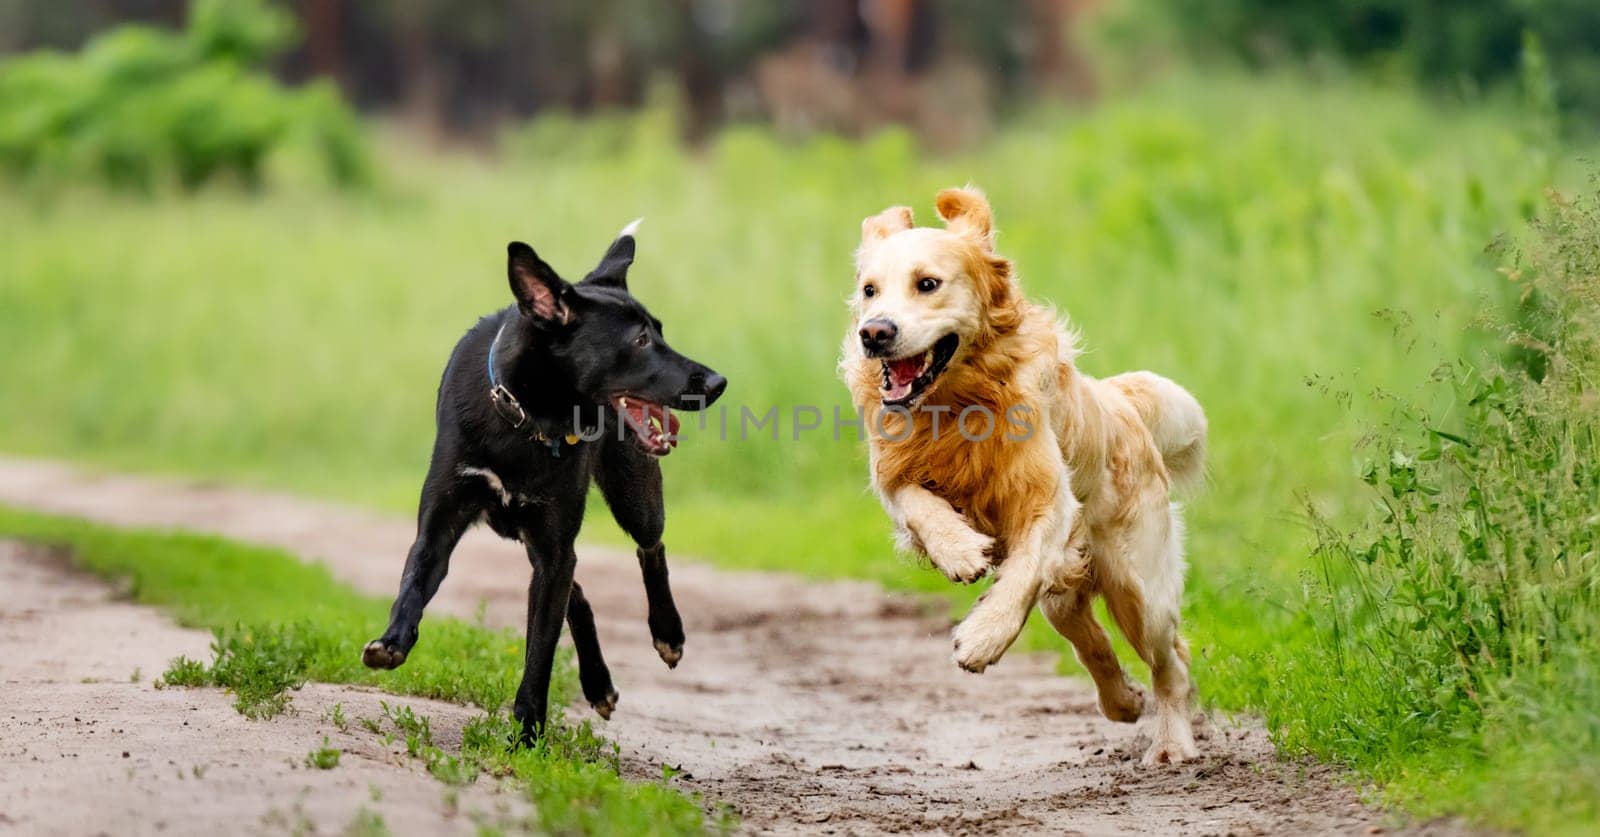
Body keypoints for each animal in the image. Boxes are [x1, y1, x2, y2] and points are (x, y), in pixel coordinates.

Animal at [361, 219, 726, 742]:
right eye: (640, 340)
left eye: (660, 332)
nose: (717, 383)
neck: (527, 417)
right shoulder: (443, 524)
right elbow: (413, 582)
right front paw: (391, 642)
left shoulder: (553, 548)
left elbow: (540, 652)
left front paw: (527, 735)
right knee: (580, 590)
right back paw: (598, 683)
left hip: (632, 497)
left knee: (650, 547)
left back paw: (667, 633)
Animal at [844, 186, 1203, 761]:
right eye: (869, 290)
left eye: (928, 284)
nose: (873, 333)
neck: (957, 404)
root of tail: (1121, 404)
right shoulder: (895, 475)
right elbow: (919, 505)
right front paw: (959, 550)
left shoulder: (1049, 498)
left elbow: (1025, 571)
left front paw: (983, 638)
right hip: (1069, 598)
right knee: (1091, 641)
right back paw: (1122, 700)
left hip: (1138, 586)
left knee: (1172, 660)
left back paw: (1171, 743)